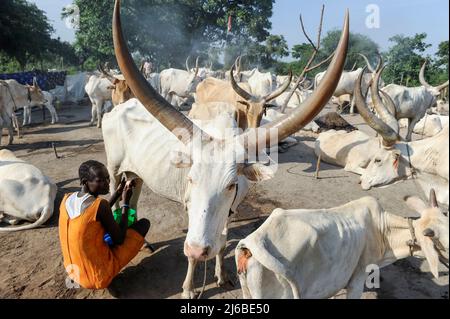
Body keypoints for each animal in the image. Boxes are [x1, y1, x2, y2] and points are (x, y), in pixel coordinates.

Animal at [107, 0, 346, 300]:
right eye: (190, 179)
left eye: (231, 185)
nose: (199, 248)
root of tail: (119, 107)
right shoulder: (192, 212)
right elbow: (192, 254)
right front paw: (188, 288)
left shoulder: (230, 211)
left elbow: (221, 243)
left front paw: (221, 275)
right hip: (113, 169)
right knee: (113, 193)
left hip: (136, 174)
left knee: (134, 195)